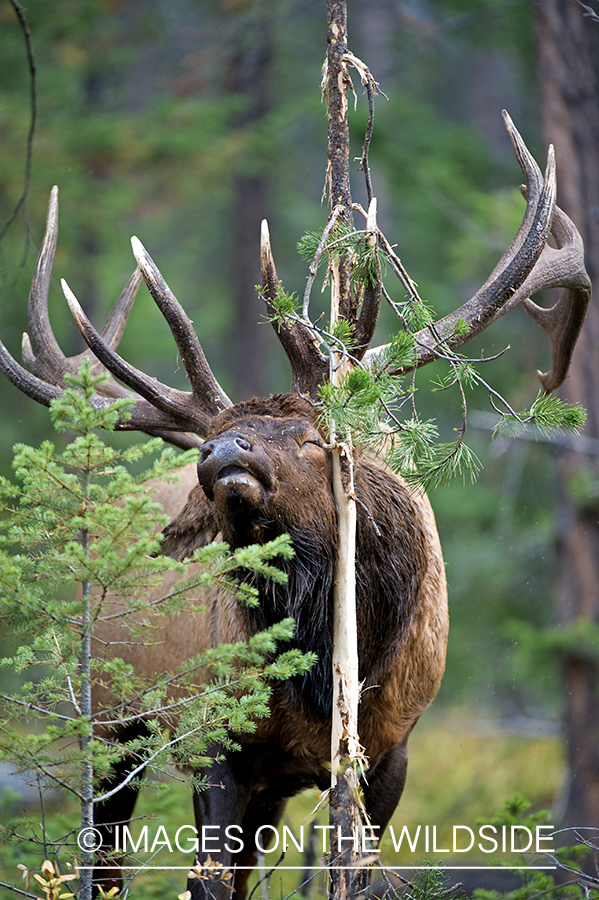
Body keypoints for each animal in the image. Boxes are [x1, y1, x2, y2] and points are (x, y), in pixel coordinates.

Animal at [0, 114, 592, 900]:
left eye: (315, 438)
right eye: (214, 436)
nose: (222, 451)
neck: (332, 666)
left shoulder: (391, 746)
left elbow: (354, 870)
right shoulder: (214, 737)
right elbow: (208, 880)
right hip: (114, 719)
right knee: (106, 860)